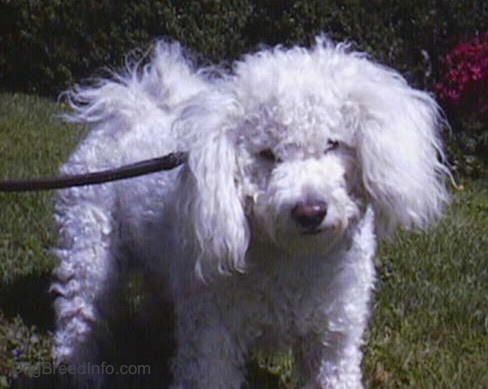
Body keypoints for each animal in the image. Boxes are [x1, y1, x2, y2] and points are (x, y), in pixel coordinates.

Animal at [51, 37, 448, 388]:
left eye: (333, 144)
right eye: (267, 154)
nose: (310, 211)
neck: (293, 258)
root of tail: (130, 115)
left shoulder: (332, 336)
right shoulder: (212, 333)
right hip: (89, 244)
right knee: (79, 314)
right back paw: (85, 373)